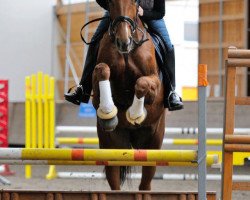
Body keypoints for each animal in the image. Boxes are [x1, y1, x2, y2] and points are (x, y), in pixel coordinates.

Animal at [92, 0, 166, 191]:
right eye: (111, 3)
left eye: (134, 2)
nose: (123, 43)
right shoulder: (97, 81)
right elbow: (102, 70)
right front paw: (108, 111)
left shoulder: (154, 82)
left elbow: (142, 84)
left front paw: (135, 113)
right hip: (110, 145)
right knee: (114, 181)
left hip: (153, 145)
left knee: (146, 182)